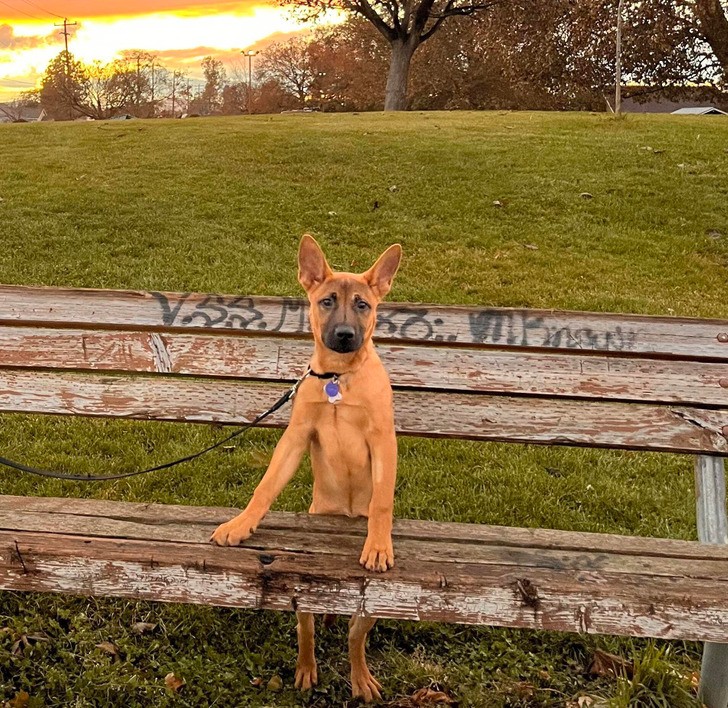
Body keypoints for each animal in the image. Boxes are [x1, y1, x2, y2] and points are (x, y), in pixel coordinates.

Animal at [210, 234, 404, 704]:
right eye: (327, 301)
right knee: (308, 624)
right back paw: (306, 667)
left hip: (372, 608)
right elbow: (264, 487)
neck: (339, 378)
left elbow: (382, 501)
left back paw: (360, 678)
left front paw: (378, 543)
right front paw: (241, 524)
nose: (345, 335)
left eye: (363, 305)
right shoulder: (296, 437)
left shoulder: (382, 441)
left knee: (355, 633)